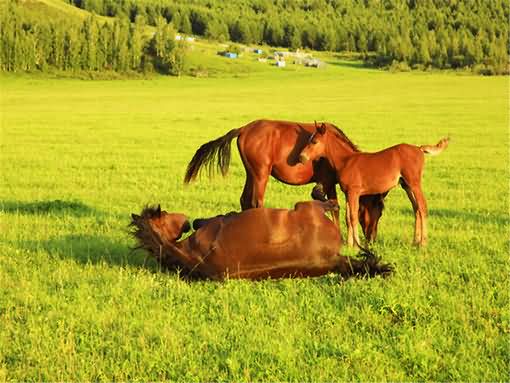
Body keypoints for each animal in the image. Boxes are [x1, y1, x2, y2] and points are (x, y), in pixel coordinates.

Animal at [184, 118, 386, 242]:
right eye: (379, 211)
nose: (372, 238)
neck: (338, 153)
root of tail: (244, 129)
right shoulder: (328, 182)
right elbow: (334, 206)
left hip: (251, 173)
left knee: (244, 200)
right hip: (261, 174)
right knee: (256, 202)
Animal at [296, 124, 448, 248]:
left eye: (314, 141)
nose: (301, 157)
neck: (346, 160)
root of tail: (419, 148)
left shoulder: (354, 192)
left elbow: (353, 217)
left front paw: (356, 244)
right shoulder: (347, 193)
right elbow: (348, 217)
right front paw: (350, 245)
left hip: (414, 183)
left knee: (422, 207)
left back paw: (423, 243)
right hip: (406, 185)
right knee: (416, 208)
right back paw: (415, 242)